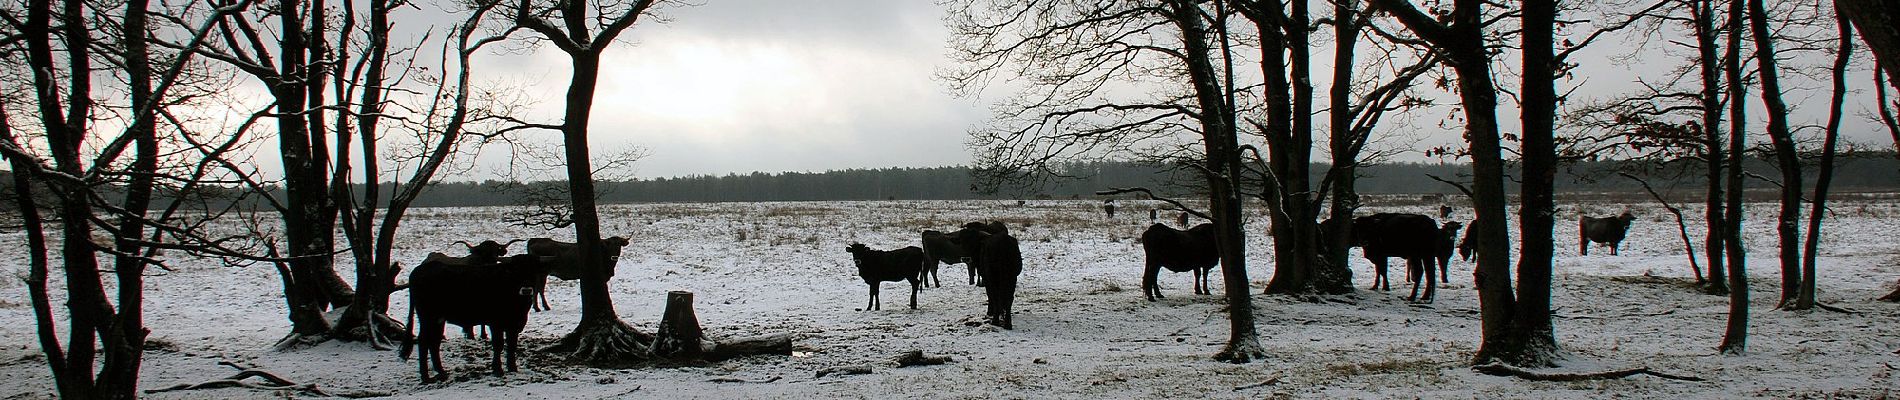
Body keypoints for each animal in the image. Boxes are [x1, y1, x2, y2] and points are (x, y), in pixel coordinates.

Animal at [399, 254, 554, 382]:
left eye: (533, 270)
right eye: (516, 271)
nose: (526, 290)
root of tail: (420, 269)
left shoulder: (514, 324)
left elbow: (512, 345)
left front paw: (512, 368)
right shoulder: (495, 322)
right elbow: (498, 344)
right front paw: (498, 370)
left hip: (438, 319)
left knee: (434, 342)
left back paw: (441, 372)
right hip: (428, 316)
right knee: (424, 341)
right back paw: (426, 377)